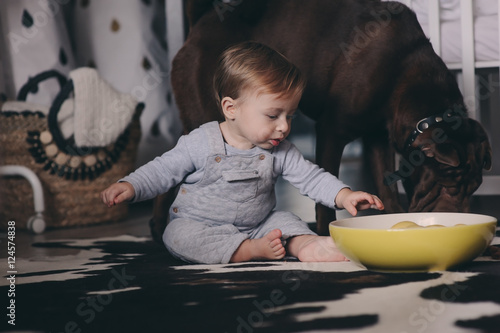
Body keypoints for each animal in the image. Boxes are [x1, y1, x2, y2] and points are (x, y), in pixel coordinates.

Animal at [149, 0, 492, 239]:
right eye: (448, 188)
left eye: (473, 188)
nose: (459, 218)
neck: (403, 73)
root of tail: (200, 24)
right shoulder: (333, 131)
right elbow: (327, 194)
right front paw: (326, 231)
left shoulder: (377, 138)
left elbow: (386, 184)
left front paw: (391, 217)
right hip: (207, 115)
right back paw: (159, 225)